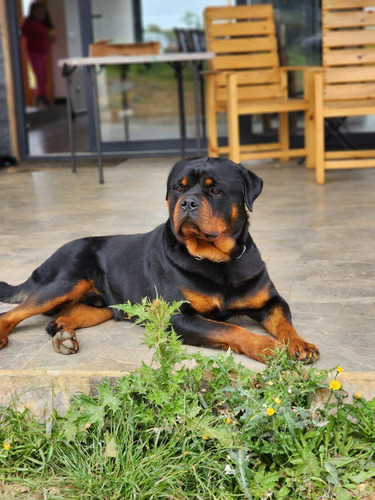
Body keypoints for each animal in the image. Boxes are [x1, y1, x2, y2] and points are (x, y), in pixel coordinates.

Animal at [0, 157, 320, 364]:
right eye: (179, 188)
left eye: (215, 189)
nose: (188, 202)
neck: (218, 260)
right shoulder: (178, 316)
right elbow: (230, 328)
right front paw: (266, 346)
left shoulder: (270, 301)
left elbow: (285, 323)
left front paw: (300, 344)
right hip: (65, 281)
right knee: (14, 313)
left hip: (103, 308)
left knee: (59, 320)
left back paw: (63, 336)